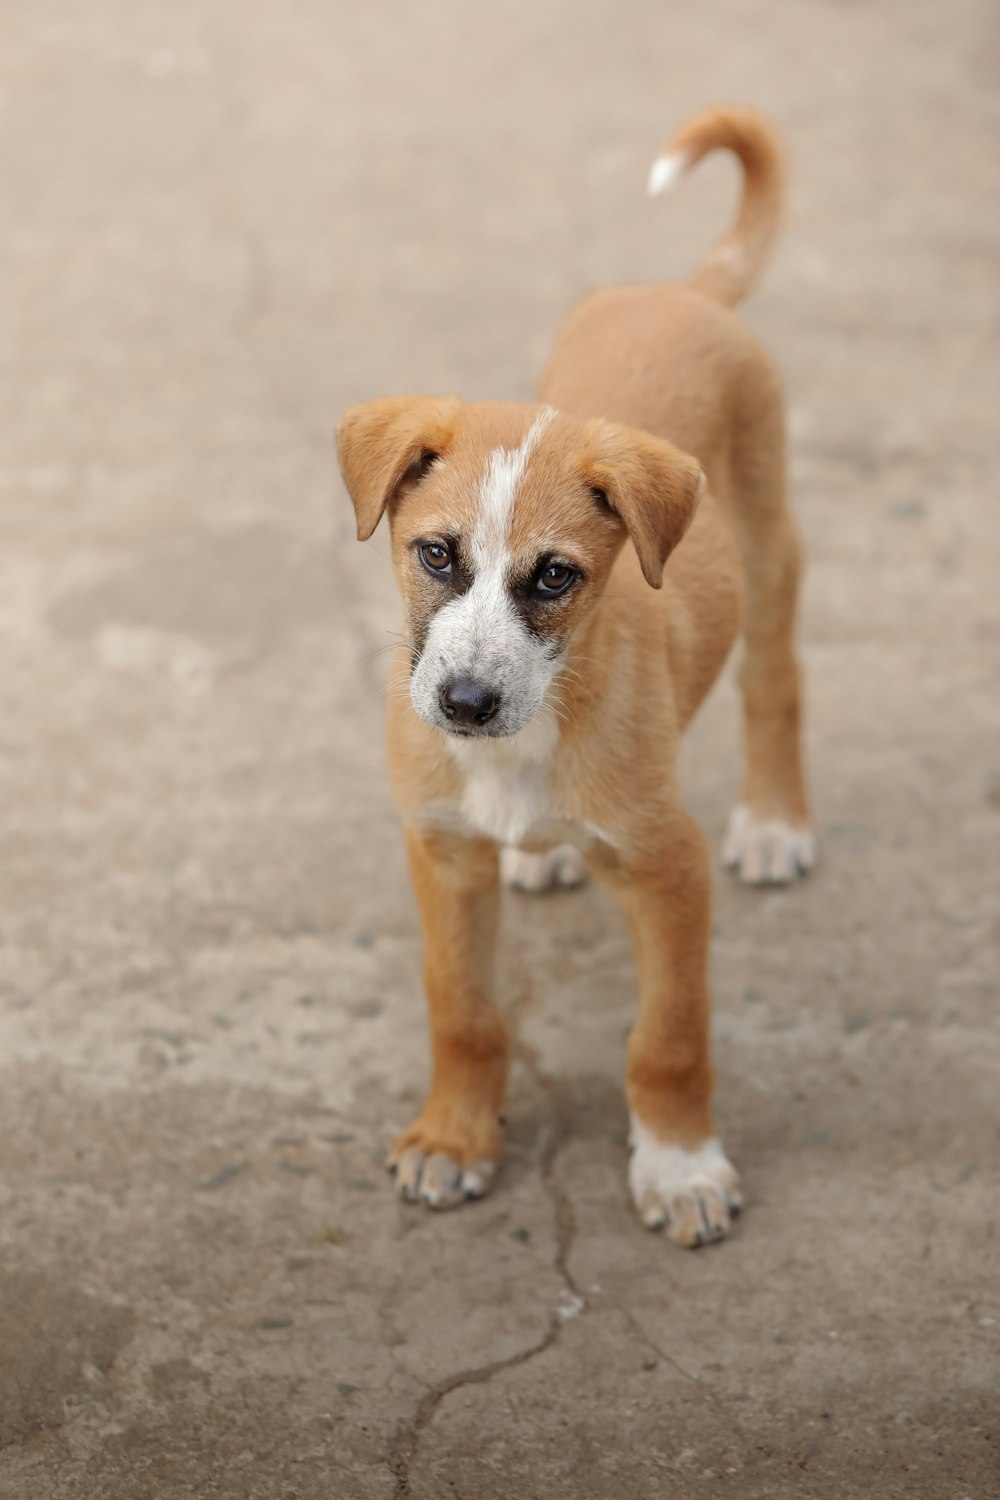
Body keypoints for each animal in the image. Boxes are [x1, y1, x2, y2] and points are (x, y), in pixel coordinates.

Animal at [335, 105, 815, 1248]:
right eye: (433, 554)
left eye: (555, 575)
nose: (465, 705)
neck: (529, 739)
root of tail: (682, 291)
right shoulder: (441, 852)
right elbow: (462, 1013)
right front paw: (453, 1139)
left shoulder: (669, 866)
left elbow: (670, 1035)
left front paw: (679, 1166)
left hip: (769, 542)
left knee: (774, 680)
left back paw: (776, 822)